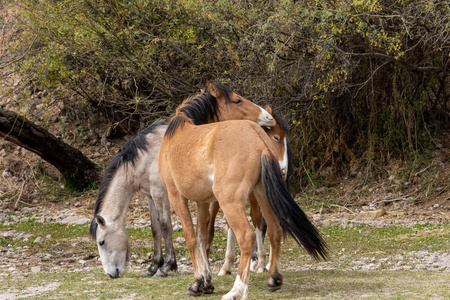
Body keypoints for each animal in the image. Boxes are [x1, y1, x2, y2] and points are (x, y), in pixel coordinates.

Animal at [89, 82, 276, 278]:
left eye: (101, 242)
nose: (111, 273)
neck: (146, 157)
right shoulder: (150, 195)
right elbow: (155, 228)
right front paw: (154, 265)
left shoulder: (162, 194)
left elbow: (165, 226)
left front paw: (167, 266)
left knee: (259, 222)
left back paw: (258, 263)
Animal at [158, 86, 326, 298]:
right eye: (237, 100)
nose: (268, 118)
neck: (178, 135)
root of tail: (257, 138)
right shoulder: (202, 201)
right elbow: (202, 237)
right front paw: (206, 281)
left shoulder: (176, 197)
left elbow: (191, 238)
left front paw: (197, 283)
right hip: (262, 196)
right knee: (275, 230)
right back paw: (273, 278)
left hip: (230, 201)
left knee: (247, 237)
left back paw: (236, 290)